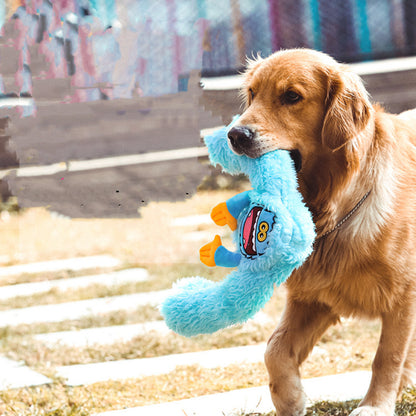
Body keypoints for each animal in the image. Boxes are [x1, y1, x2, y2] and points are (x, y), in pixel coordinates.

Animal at [228, 49, 416, 416]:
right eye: (252, 94)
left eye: (291, 97)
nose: (236, 135)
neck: (336, 205)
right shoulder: (313, 296)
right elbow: (274, 348)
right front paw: (290, 398)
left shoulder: (404, 295)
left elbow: (387, 356)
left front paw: (375, 405)